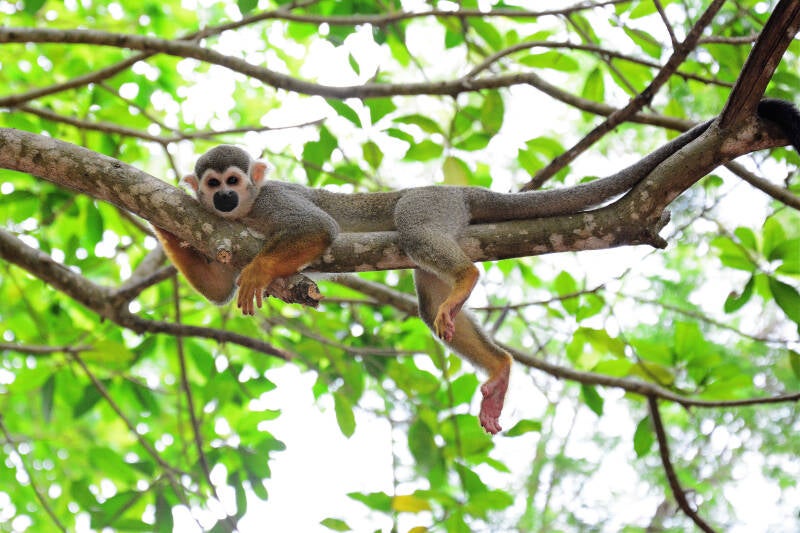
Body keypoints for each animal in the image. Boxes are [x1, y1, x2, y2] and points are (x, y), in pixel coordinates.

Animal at [153, 99, 800, 435]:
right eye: (211, 185)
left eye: (235, 181)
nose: (225, 200)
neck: (249, 213)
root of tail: (456, 191)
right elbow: (214, 286)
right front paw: (155, 218)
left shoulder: (276, 203)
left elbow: (318, 232)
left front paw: (261, 272)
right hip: (446, 226)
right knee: (427, 297)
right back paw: (500, 366)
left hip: (429, 207)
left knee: (412, 228)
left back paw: (467, 280)